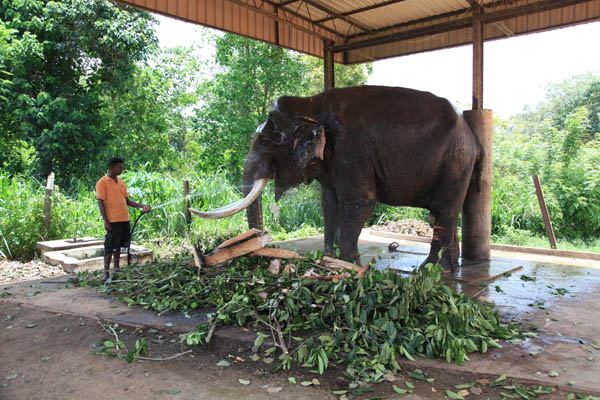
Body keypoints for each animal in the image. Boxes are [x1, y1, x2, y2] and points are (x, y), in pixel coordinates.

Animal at [192, 85, 482, 272]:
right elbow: (329, 203)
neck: (310, 104)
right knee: (449, 212)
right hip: (458, 164)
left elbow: (361, 202)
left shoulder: (351, 148)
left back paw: (430, 270)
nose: (264, 246)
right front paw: (327, 260)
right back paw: (449, 268)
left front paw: (350, 267)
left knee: (444, 211)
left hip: (455, 161)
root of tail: (474, 138)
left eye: (264, 142)